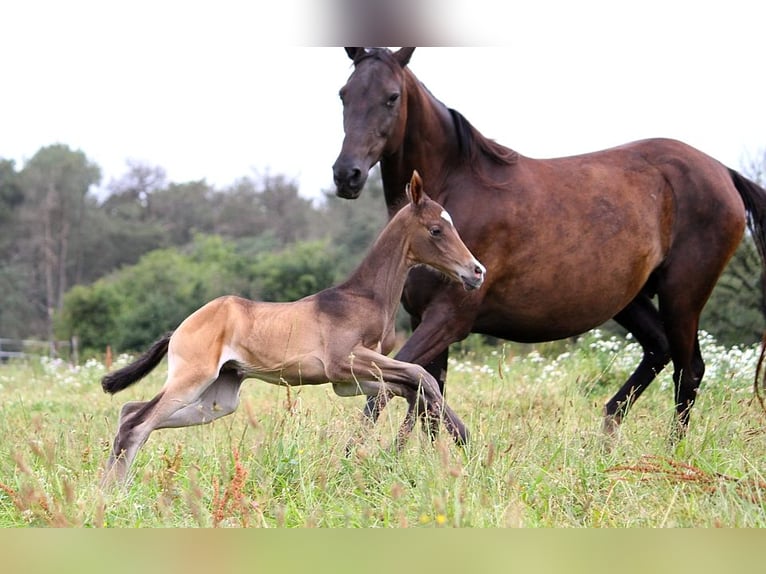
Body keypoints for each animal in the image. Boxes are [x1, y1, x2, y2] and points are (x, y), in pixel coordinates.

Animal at [336, 47, 766, 438]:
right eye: (344, 93)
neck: (456, 187)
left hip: (683, 294)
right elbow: (426, 396)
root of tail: (724, 171)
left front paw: (356, 457)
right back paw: (607, 434)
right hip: (630, 299)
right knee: (659, 350)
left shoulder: (450, 316)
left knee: (688, 369)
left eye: (392, 97)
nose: (346, 174)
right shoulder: (423, 316)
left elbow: (391, 383)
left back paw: (670, 453)